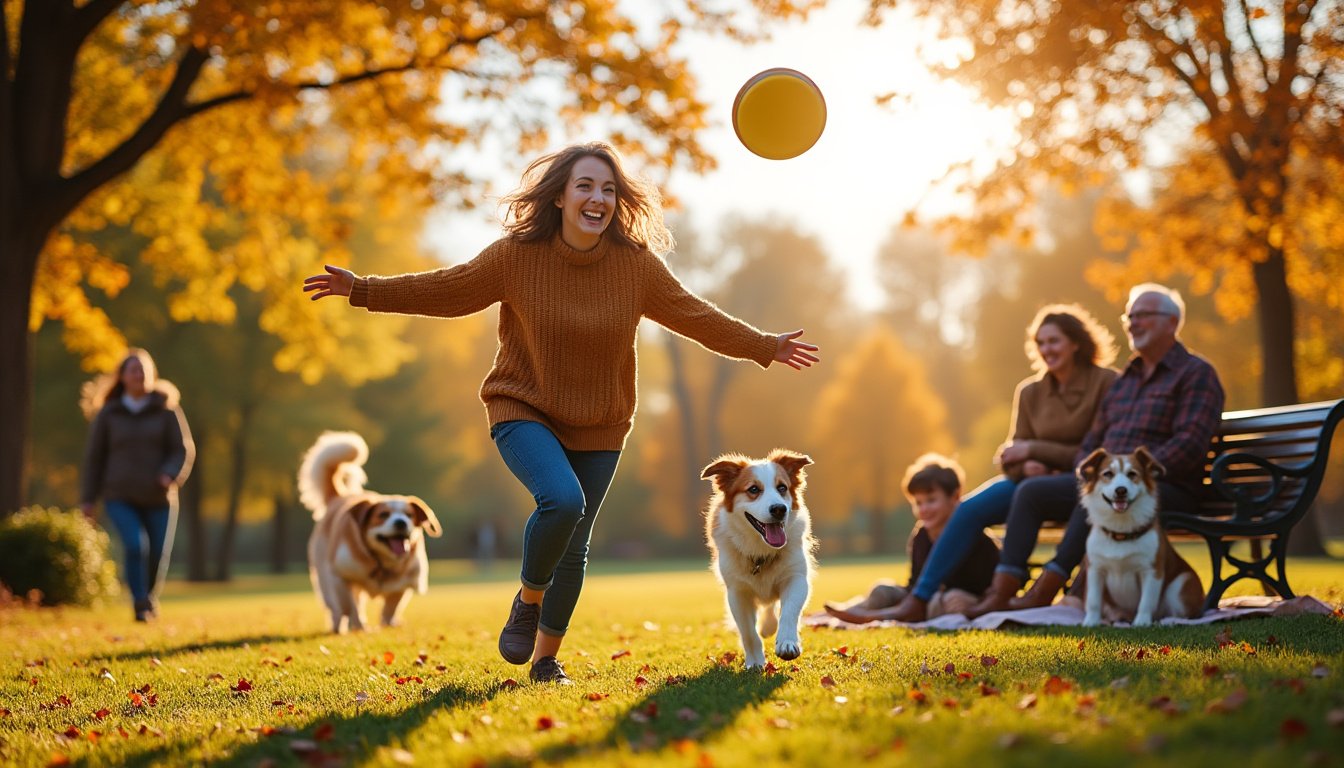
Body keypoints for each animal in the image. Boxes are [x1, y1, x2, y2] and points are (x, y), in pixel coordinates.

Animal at [298, 433, 440, 637]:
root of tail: (339, 497)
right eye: (383, 515)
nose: (401, 522)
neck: (382, 562)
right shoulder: (340, 576)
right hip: (324, 576)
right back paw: (340, 625)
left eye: (409, 515)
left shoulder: (404, 584)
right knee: (336, 607)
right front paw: (357, 626)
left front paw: (388, 624)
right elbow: (348, 606)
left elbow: (391, 607)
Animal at [704, 451, 817, 667]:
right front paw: (755, 661)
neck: (761, 550)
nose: (779, 509)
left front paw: (787, 643)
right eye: (753, 489)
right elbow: (748, 632)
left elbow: (789, 612)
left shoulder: (796, 578)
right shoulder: (737, 592)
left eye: (782, 487)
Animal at [1075, 446, 1204, 626]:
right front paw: (1091, 621)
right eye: (1108, 474)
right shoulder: (1095, 569)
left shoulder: (1152, 570)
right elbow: (1093, 600)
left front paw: (1142, 621)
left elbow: (1146, 600)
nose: (1121, 490)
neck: (1121, 532)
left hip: (1181, 585)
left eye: (1132, 474)